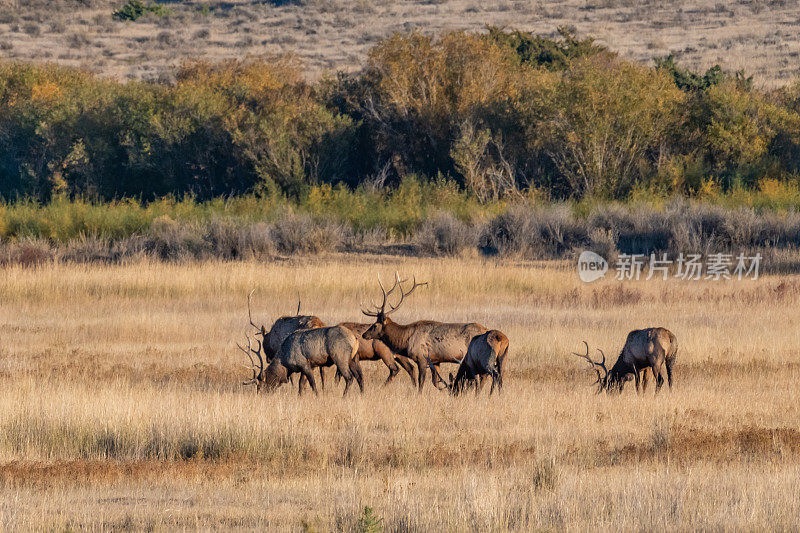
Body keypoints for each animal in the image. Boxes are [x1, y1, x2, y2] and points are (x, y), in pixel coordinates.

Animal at [362, 270, 494, 390]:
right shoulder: (435, 360)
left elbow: (421, 381)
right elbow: (435, 382)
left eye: (375, 325)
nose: (364, 335)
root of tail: (486, 330)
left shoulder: (422, 357)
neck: (406, 340)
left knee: (484, 375)